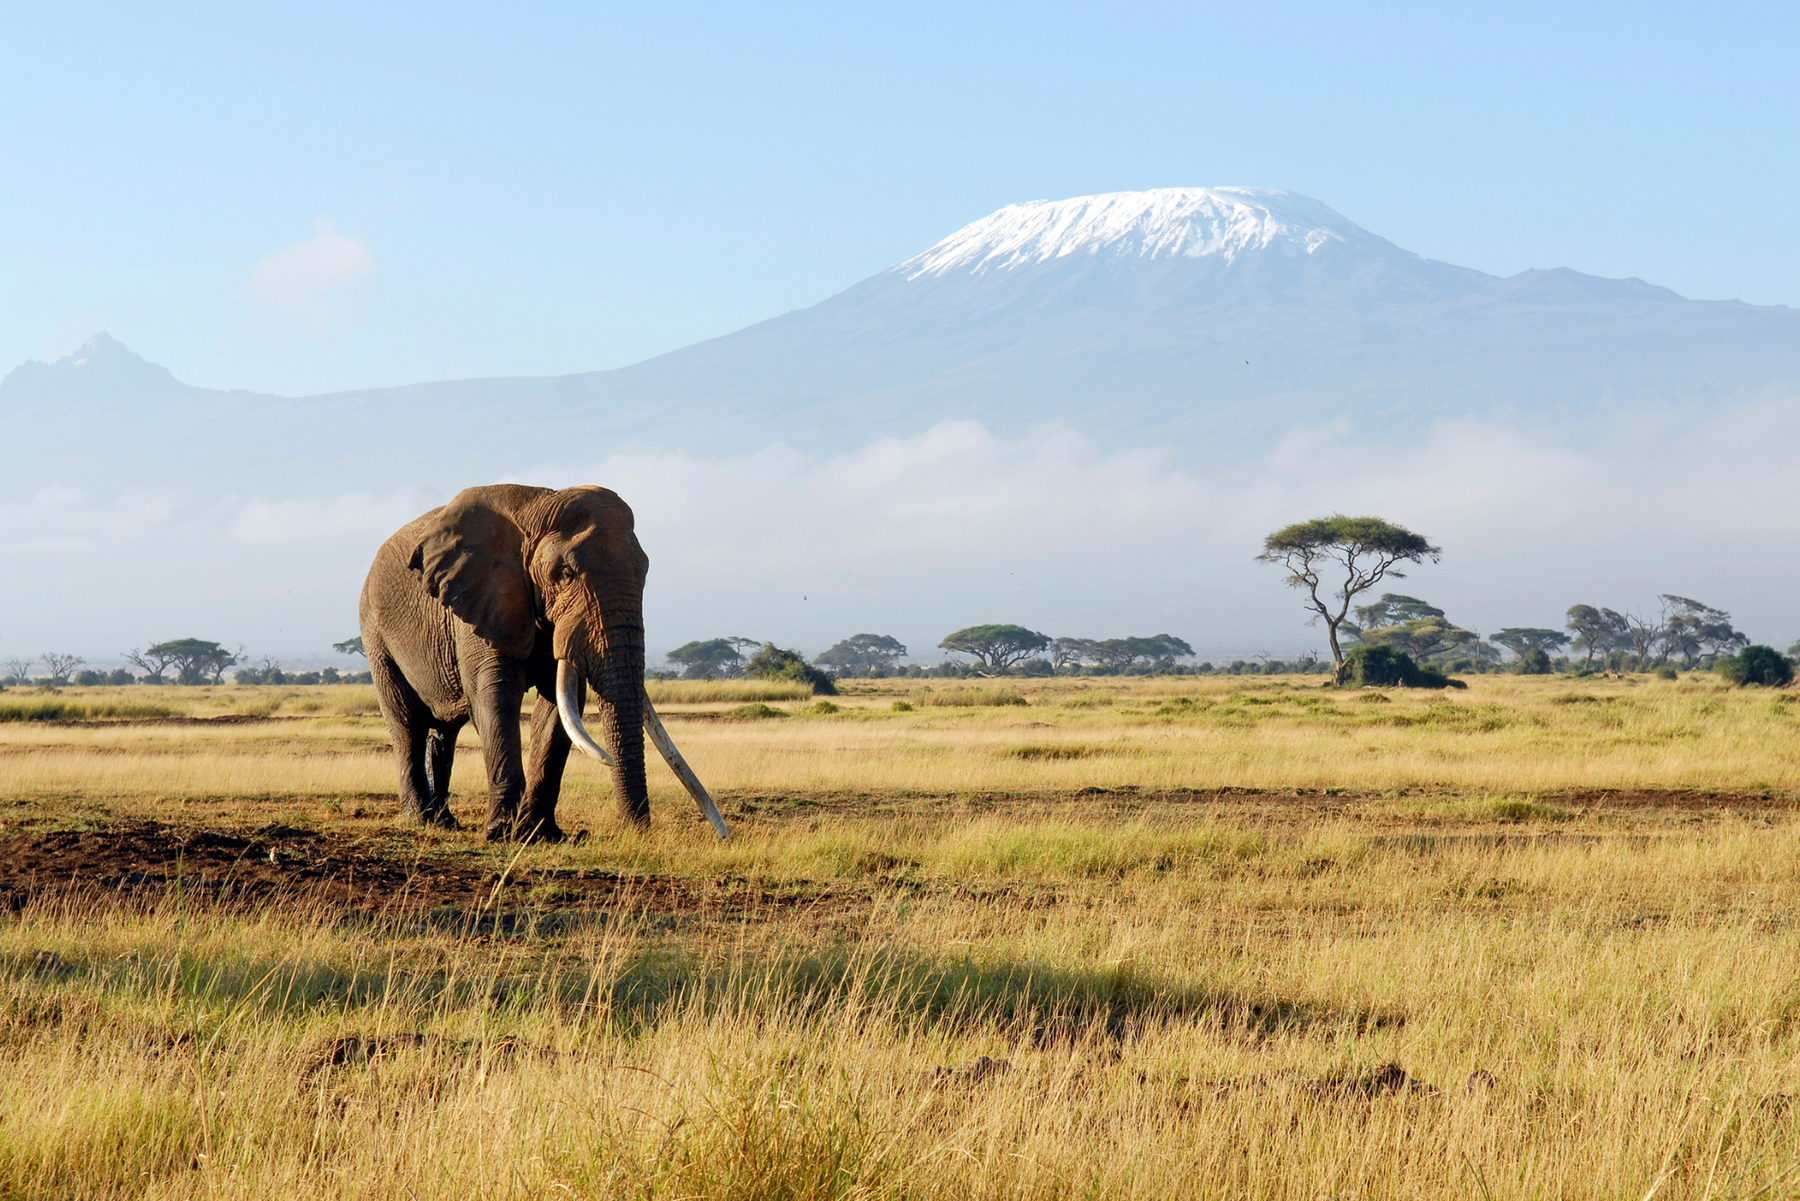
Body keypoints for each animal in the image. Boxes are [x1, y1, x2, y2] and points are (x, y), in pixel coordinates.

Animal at [359, 483, 727, 842]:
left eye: (645, 574)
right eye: (565, 574)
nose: (635, 832)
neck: (536, 508)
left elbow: (560, 707)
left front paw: (542, 833)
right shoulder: (485, 599)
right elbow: (496, 696)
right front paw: (502, 832)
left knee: (444, 733)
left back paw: (445, 822)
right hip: (375, 632)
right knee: (408, 724)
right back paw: (419, 819)